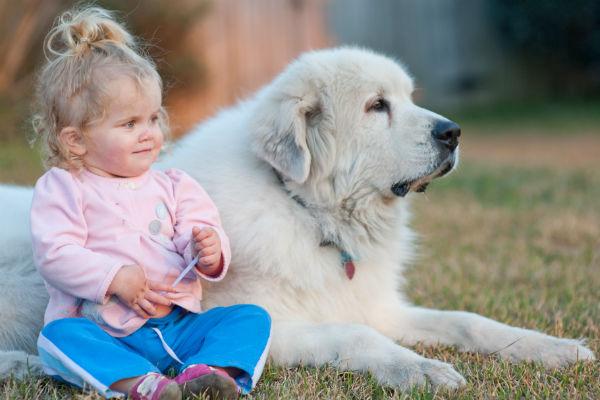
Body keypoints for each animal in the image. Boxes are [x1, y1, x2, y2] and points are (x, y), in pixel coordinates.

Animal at [0, 47, 592, 390]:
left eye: (407, 99)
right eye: (377, 106)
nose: (453, 132)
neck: (309, 212)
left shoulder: (377, 306)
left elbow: (469, 322)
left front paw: (555, 349)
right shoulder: (283, 325)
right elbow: (356, 336)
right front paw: (420, 368)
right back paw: (27, 366)